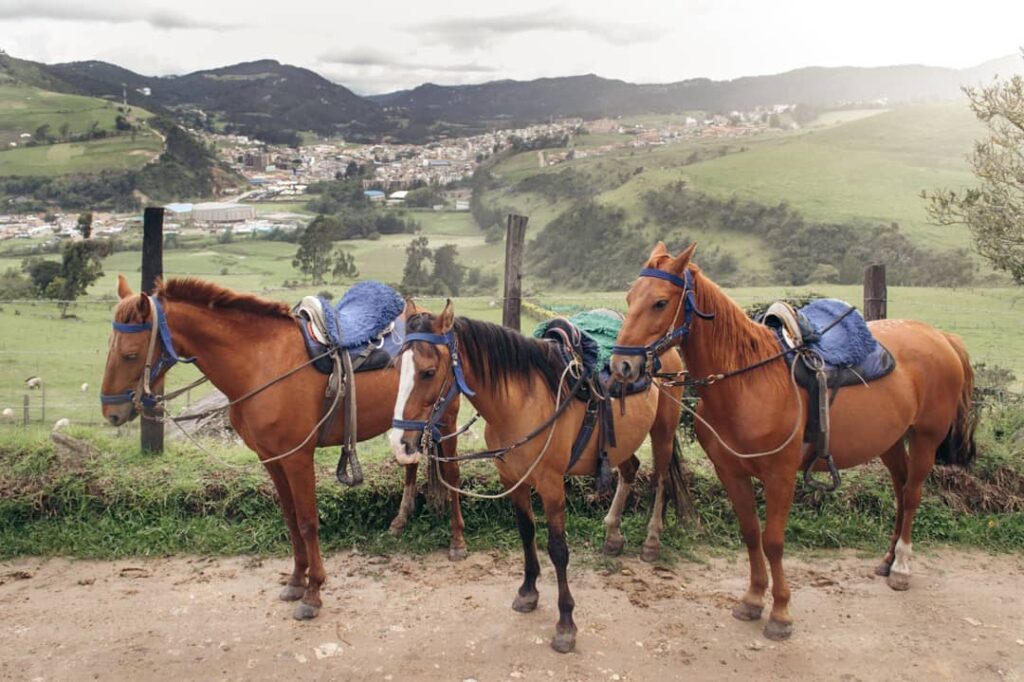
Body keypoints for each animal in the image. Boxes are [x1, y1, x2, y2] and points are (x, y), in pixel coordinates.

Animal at [100, 275, 467, 620]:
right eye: (111, 347)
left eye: (130, 354)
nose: (111, 412)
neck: (261, 364)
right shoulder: (271, 458)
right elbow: (290, 519)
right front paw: (295, 581)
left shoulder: (297, 458)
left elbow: (306, 521)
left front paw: (313, 593)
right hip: (412, 424)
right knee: (411, 462)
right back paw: (400, 520)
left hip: (446, 420)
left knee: (451, 474)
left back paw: (457, 541)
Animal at [389, 301, 686, 653]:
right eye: (398, 367)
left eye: (428, 372)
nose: (399, 442)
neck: (520, 403)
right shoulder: (512, 479)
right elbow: (526, 532)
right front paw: (528, 591)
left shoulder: (551, 485)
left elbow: (558, 549)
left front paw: (566, 623)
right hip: (621, 444)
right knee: (630, 471)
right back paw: (613, 534)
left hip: (663, 432)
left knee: (662, 480)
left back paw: (651, 541)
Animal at [609, 242, 977, 641]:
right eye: (630, 298)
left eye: (660, 302)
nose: (620, 367)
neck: (748, 382)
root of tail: (940, 337)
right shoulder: (731, 472)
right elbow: (751, 533)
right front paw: (753, 599)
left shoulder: (780, 475)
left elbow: (773, 541)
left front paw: (781, 612)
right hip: (891, 441)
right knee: (900, 488)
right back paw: (887, 559)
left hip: (925, 437)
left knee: (911, 496)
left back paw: (902, 567)